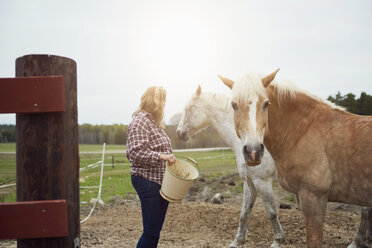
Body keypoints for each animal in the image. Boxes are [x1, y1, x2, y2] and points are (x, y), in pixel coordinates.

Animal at [177, 85, 284, 248]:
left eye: (189, 108)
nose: (179, 132)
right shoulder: (249, 181)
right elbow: (244, 213)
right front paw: (237, 241)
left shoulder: (262, 181)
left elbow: (272, 211)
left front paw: (278, 241)